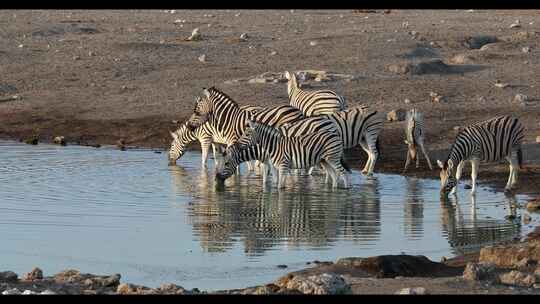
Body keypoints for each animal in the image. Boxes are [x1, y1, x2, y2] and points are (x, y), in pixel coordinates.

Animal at [216, 120, 350, 189]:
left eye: (226, 163)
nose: (217, 179)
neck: (271, 146)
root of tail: (335, 134)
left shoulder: (281, 165)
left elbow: (279, 184)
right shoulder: (272, 164)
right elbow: (269, 181)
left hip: (333, 158)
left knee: (342, 173)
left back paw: (345, 189)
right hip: (324, 160)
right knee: (334, 175)